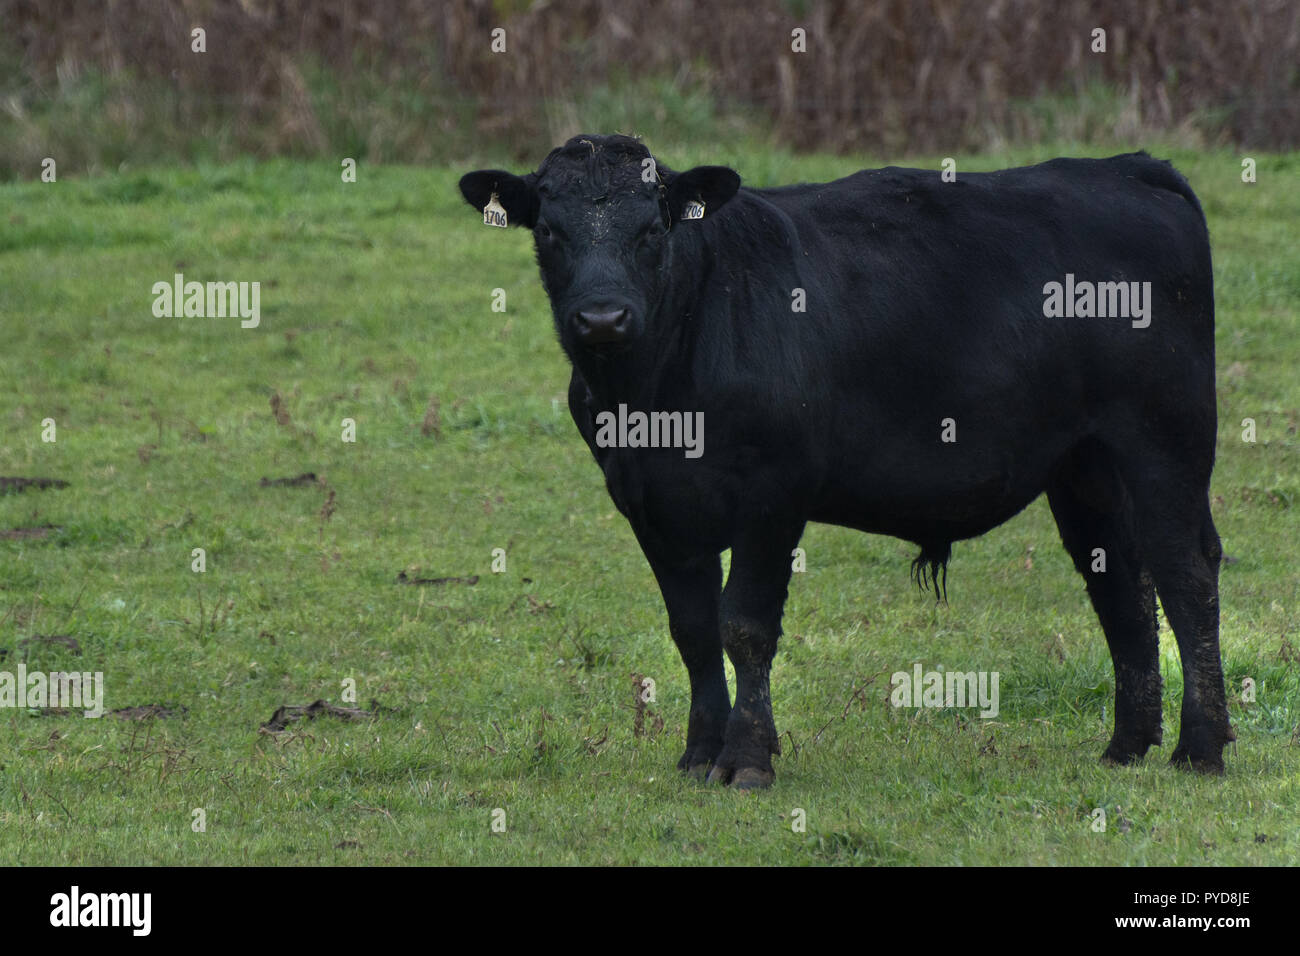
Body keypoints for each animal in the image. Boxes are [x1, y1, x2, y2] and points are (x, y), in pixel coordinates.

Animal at [459, 134, 1232, 789]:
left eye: (653, 229)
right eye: (549, 231)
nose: (602, 319)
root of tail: (1124, 167)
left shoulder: (773, 493)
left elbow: (745, 626)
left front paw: (747, 759)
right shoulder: (648, 502)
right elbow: (694, 630)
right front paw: (700, 752)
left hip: (1166, 441)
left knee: (1186, 574)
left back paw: (1200, 750)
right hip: (1085, 465)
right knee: (1121, 580)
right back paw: (1127, 746)